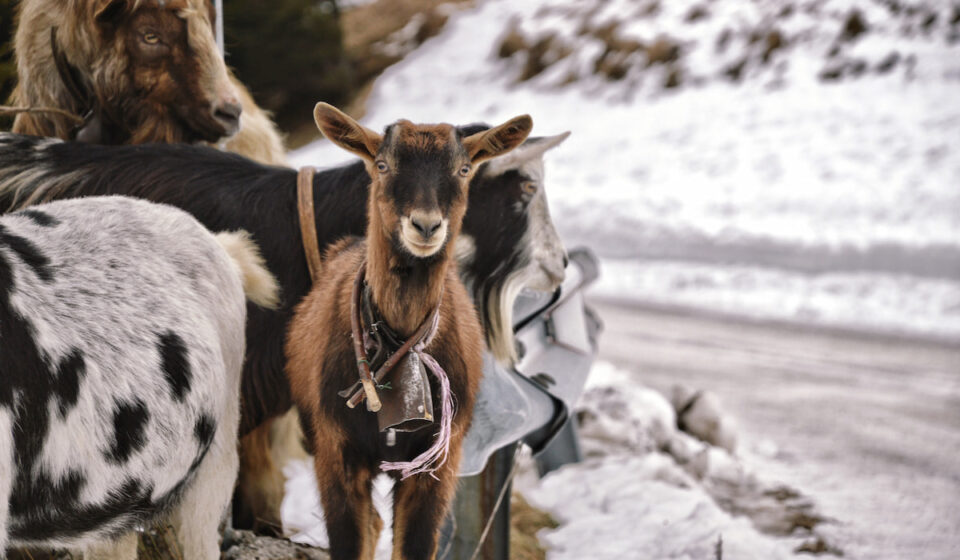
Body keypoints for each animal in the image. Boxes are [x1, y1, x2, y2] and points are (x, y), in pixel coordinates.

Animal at [286, 103, 532, 560]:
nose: (426, 226)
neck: (396, 345)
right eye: (383, 164)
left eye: (464, 168)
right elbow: (350, 542)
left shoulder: (437, 462)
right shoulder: (335, 452)